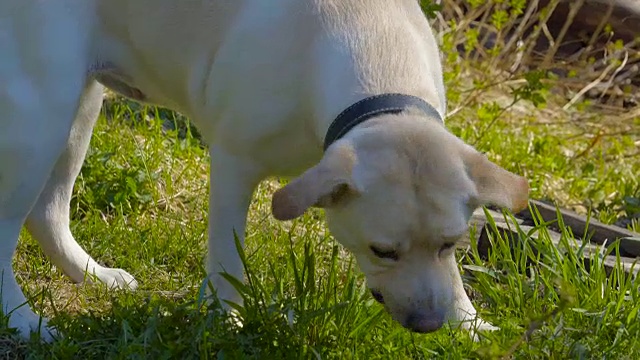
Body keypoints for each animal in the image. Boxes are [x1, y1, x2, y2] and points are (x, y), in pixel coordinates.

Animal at [0, 0, 528, 340]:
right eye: (382, 251)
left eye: (449, 244)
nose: (428, 326)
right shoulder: (233, 164)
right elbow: (226, 261)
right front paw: (225, 324)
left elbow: (451, 276)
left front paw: (469, 322)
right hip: (40, 116)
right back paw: (22, 320)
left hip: (81, 108)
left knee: (46, 212)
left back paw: (91, 274)